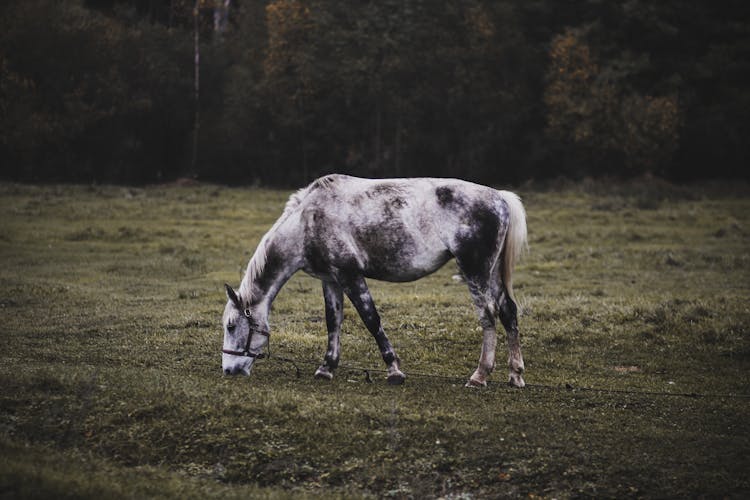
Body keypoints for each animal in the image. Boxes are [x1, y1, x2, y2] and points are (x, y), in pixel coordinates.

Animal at [222, 174, 528, 388]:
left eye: (231, 325)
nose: (228, 369)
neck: (306, 222)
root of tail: (499, 197)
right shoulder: (331, 280)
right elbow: (333, 322)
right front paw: (326, 367)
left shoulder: (350, 276)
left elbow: (371, 319)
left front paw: (394, 370)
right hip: (492, 275)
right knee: (508, 313)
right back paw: (515, 375)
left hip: (475, 273)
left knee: (488, 316)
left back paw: (480, 375)